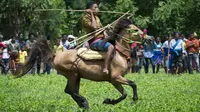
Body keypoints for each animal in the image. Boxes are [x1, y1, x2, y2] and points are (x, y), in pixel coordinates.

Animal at [15, 17, 144, 108]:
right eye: (135, 30)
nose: (145, 37)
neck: (119, 54)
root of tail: (56, 55)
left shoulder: (113, 80)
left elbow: (124, 94)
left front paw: (109, 101)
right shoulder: (116, 77)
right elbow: (133, 84)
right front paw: (134, 100)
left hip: (77, 76)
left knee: (72, 91)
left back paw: (82, 104)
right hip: (72, 74)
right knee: (69, 90)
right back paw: (84, 102)